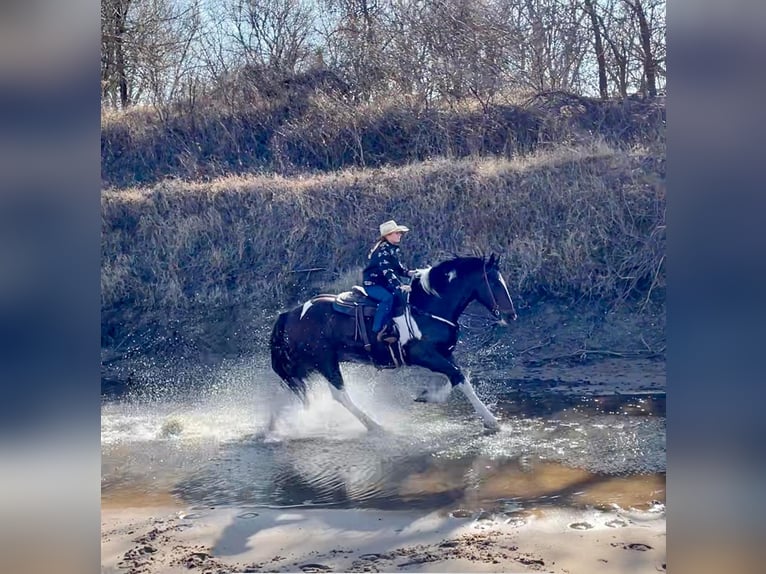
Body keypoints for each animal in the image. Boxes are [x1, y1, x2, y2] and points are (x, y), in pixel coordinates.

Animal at [268, 254, 516, 434]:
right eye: (495, 282)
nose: (511, 315)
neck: (425, 308)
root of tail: (290, 314)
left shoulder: (444, 354)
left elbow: (456, 376)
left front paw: (427, 396)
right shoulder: (424, 355)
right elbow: (459, 377)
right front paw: (492, 421)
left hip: (303, 366)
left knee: (300, 394)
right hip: (325, 362)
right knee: (339, 395)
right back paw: (374, 425)